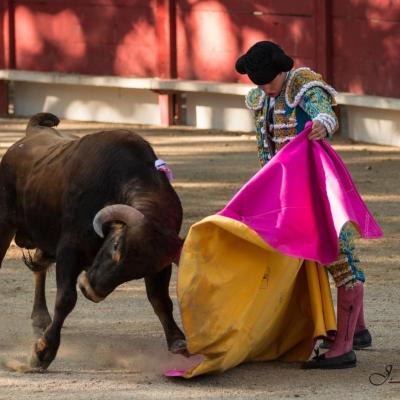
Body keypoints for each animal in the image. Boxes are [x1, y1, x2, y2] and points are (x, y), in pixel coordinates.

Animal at [0, 111, 188, 368]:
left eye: (139, 272)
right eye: (116, 247)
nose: (91, 290)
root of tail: (32, 132)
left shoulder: (161, 265)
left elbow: (160, 299)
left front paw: (177, 341)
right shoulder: (69, 250)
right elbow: (66, 298)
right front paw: (43, 352)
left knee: (39, 265)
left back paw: (40, 318)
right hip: (4, 225)